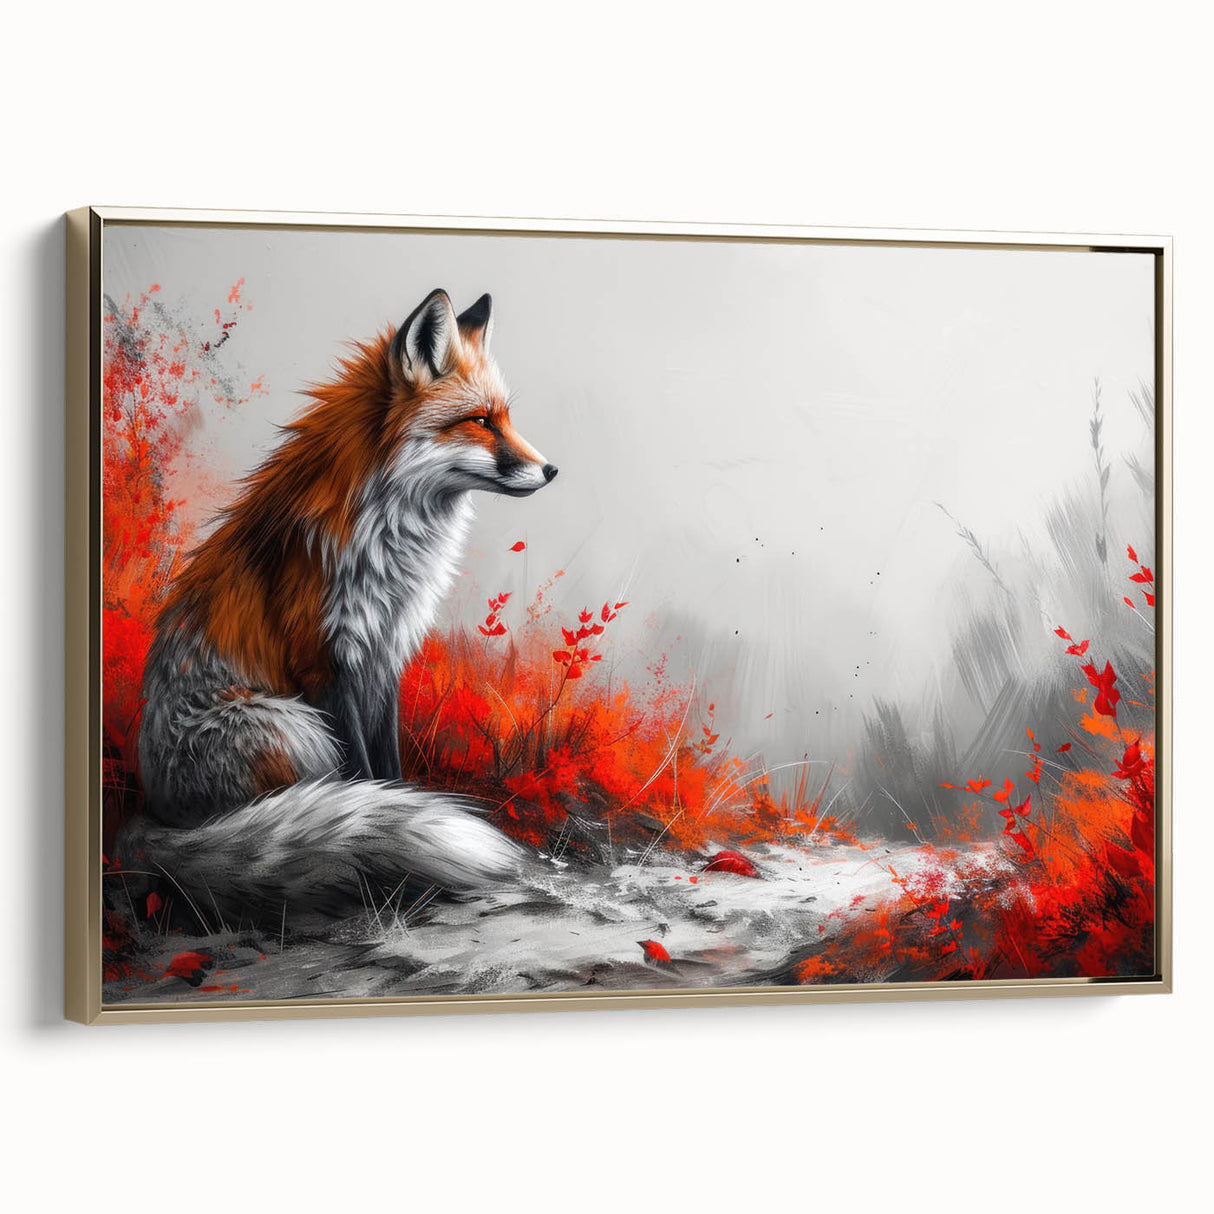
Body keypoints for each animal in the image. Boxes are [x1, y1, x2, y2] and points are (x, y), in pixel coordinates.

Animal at [117, 289, 558, 927]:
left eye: (505, 418)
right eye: (480, 422)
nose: (551, 469)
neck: (390, 541)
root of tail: (154, 815)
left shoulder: (385, 651)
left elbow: (388, 771)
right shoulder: (324, 659)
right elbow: (363, 779)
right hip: (293, 726)